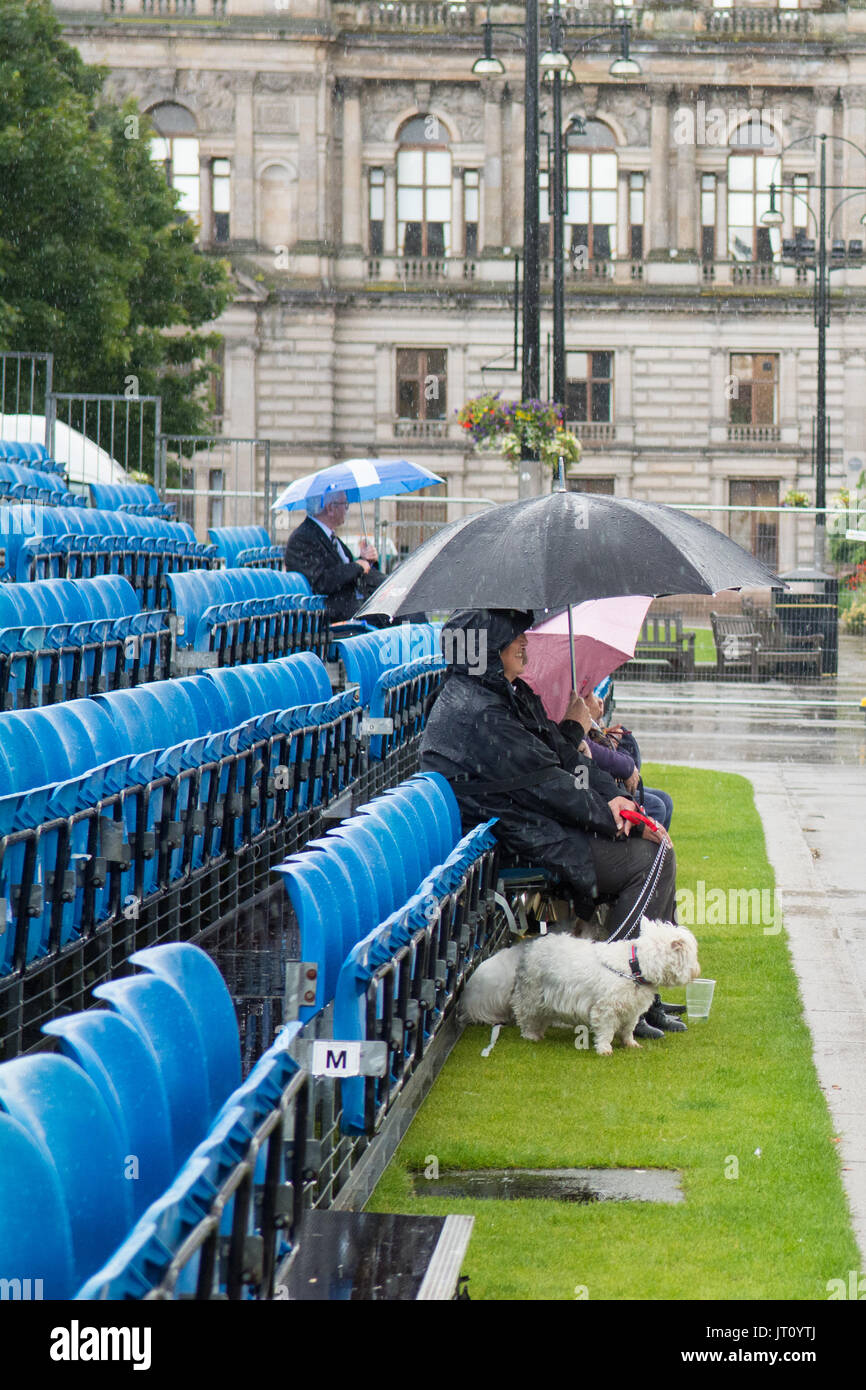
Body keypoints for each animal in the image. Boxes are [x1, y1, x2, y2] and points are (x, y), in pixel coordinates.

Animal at [458, 922, 700, 1050]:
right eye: (692, 955)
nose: (697, 971)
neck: (634, 966)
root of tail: (531, 945)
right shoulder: (605, 1008)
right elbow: (606, 1030)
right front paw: (605, 1049)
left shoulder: (631, 1010)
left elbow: (628, 1029)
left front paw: (631, 1044)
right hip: (532, 994)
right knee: (525, 1014)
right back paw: (531, 1035)